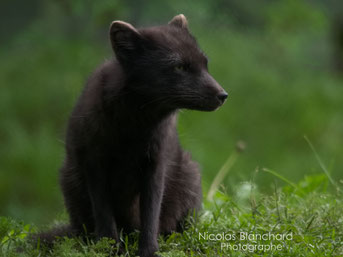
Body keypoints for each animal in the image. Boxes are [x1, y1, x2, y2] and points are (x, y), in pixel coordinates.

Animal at [39, 14, 228, 256]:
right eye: (179, 66)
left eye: (205, 64)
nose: (223, 95)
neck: (134, 125)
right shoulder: (94, 163)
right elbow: (104, 212)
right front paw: (110, 247)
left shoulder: (155, 165)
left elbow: (150, 214)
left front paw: (148, 250)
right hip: (70, 181)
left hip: (190, 174)